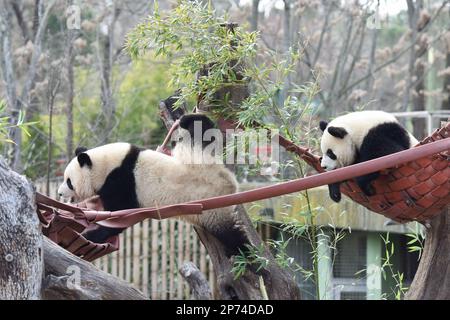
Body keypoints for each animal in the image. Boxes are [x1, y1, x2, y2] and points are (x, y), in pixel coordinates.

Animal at [57, 114, 241, 248]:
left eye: (69, 181)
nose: (58, 193)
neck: (107, 166)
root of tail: (229, 184)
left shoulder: (121, 181)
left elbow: (119, 214)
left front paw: (90, 235)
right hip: (198, 159)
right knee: (200, 133)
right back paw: (188, 118)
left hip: (213, 209)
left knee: (232, 237)